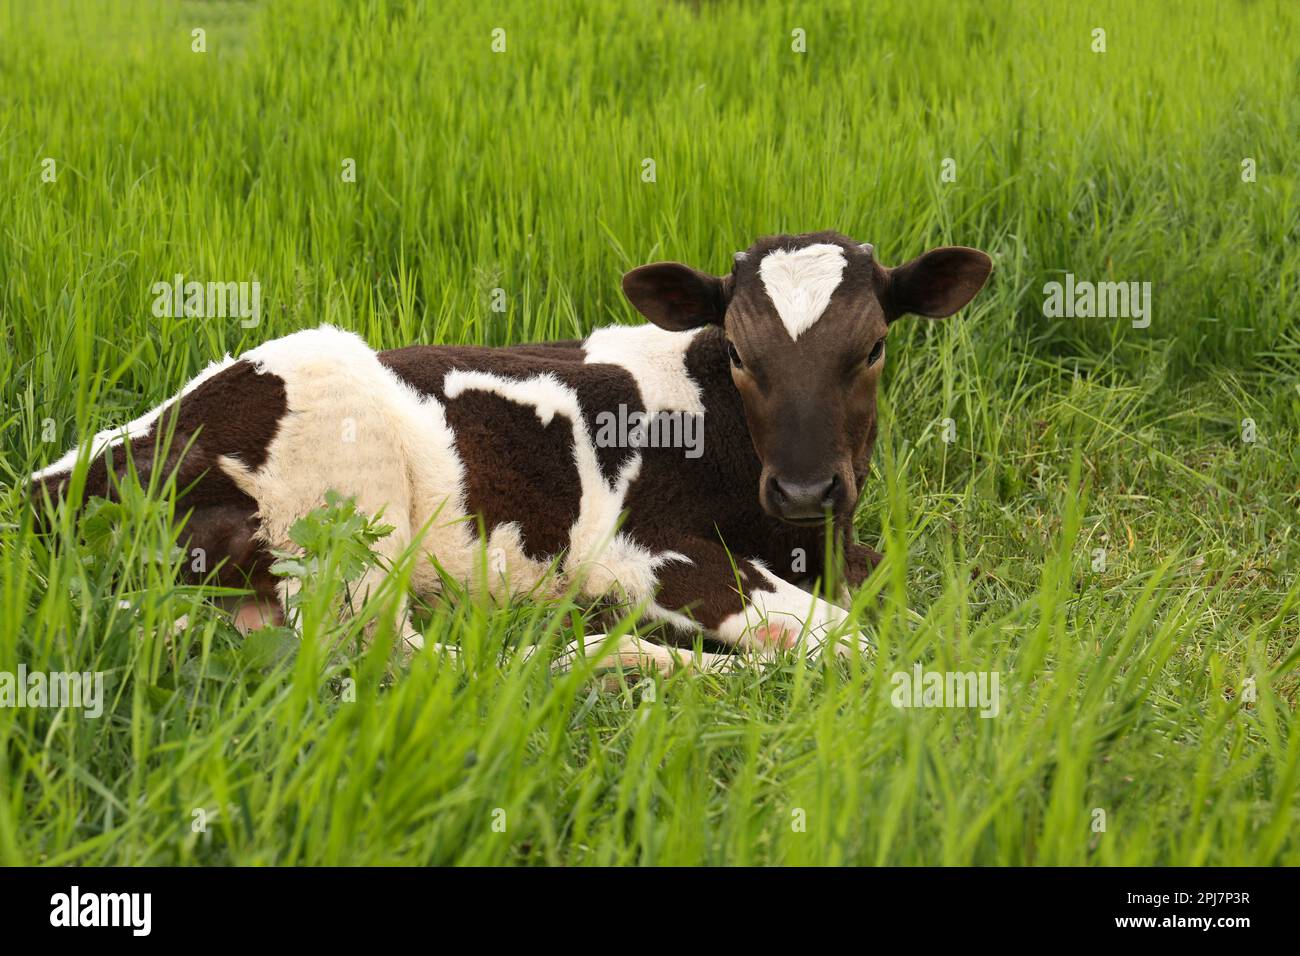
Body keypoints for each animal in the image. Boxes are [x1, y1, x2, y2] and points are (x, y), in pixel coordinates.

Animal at [29, 231, 992, 675]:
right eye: (743, 354)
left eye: (871, 348)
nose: (801, 487)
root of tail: (61, 479)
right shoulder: (639, 546)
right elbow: (847, 640)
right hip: (341, 505)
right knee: (411, 659)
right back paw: (623, 661)